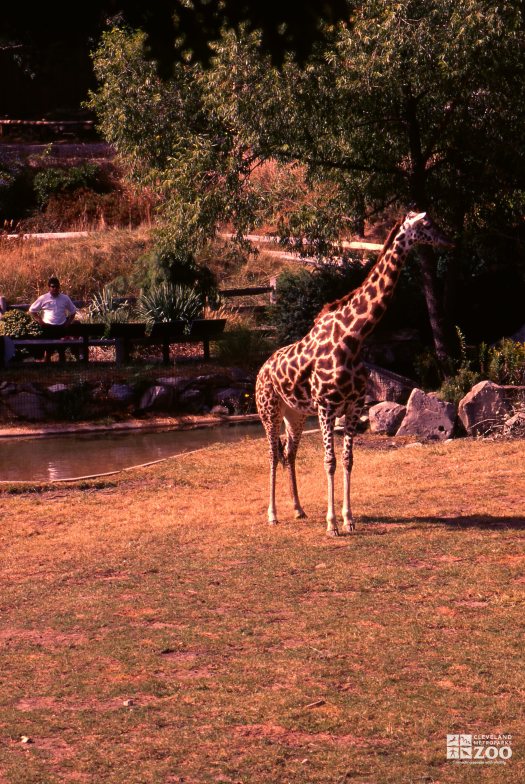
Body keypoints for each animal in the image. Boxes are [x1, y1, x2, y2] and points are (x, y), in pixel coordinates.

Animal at [254, 211, 450, 536]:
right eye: (426, 225)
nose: (450, 240)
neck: (354, 337)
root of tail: (260, 369)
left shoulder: (353, 406)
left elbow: (347, 460)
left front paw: (349, 519)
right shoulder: (326, 407)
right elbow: (329, 461)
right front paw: (332, 524)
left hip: (295, 413)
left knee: (289, 452)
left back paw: (298, 509)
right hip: (269, 410)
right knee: (271, 453)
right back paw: (272, 515)